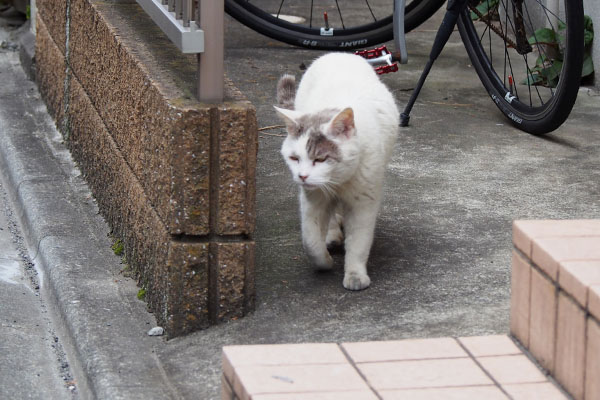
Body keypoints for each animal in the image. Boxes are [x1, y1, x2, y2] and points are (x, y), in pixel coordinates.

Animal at [276, 53, 398, 290]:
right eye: (294, 158)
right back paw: (332, 236)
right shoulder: (313, 200)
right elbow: (310, 241)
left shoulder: (363, 203)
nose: (302, 176)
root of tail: (338, 54)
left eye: (320, 159)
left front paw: (355, 275)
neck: (340, 182)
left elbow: (358, 243)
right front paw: (324, 262)